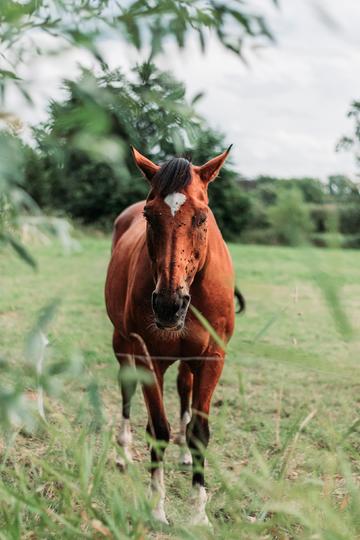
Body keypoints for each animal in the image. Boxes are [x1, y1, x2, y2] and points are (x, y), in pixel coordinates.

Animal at [105, 146, 243, 524]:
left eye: (202, 217)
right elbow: (158, 430)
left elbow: (199, 432)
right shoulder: (148, 357)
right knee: (127, 391)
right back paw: (123, 453)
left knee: (184, 387)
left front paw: (198, 513)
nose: (169, 306)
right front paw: (157, 507)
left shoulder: (212, 358)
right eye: (150, 216)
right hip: (123, 344)